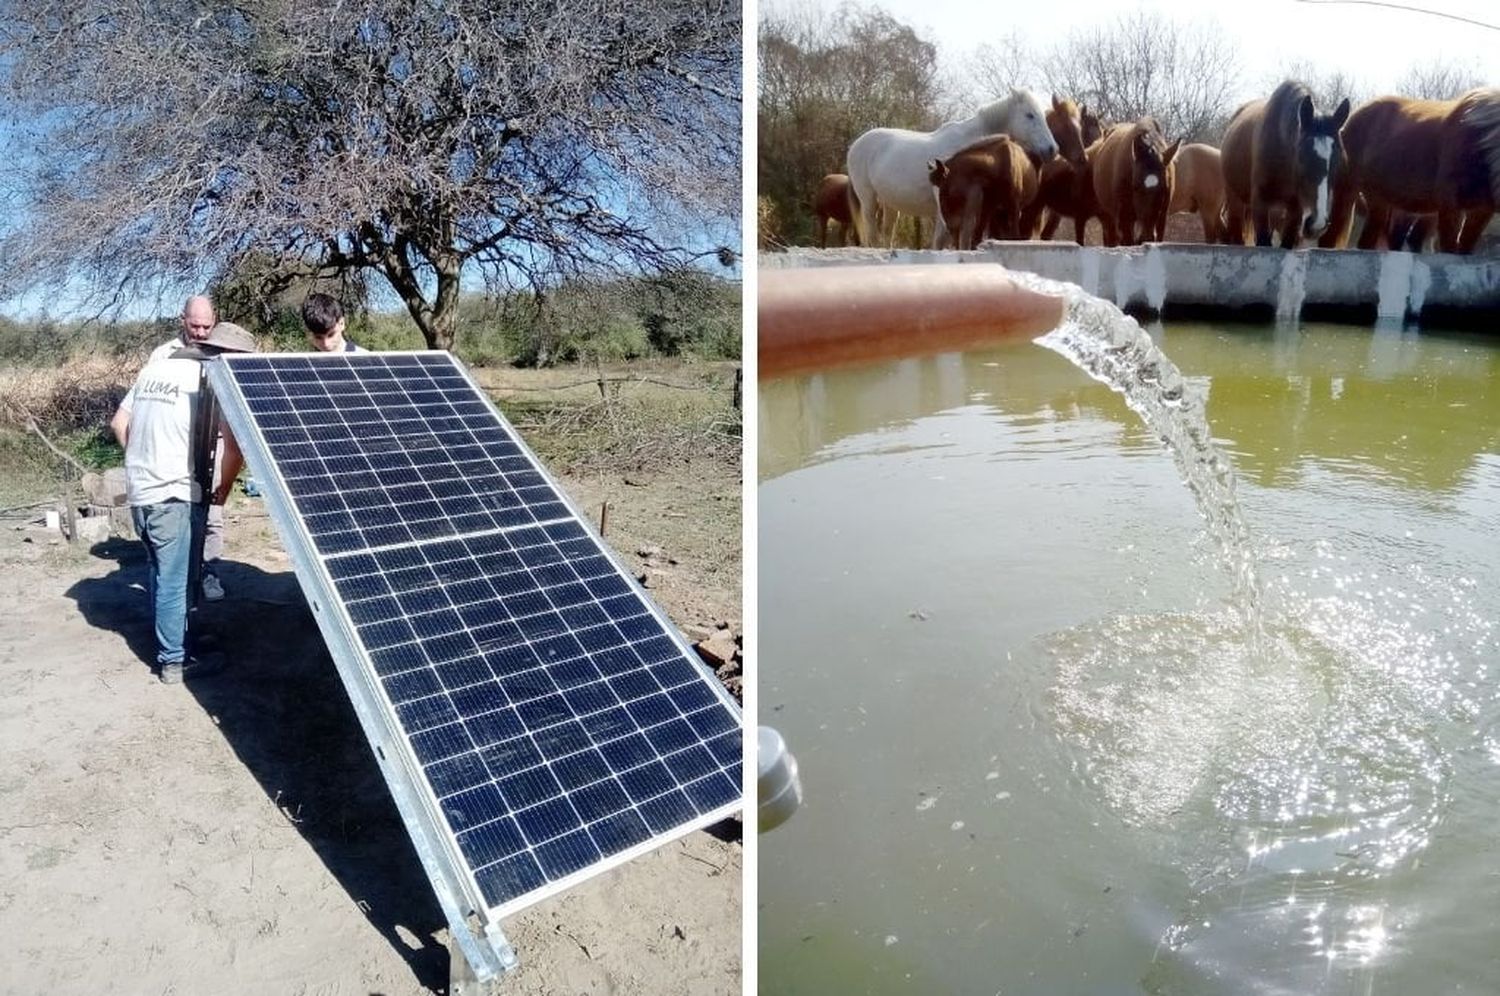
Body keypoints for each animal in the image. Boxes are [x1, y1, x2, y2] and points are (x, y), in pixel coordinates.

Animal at [846, 90, 1068, 249]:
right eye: (1030, 115)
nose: (1052, 149)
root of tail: (856, 145)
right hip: (869, 200)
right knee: (873, 234)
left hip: (891, 205)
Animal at [1086, 117, 1176, 247]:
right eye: (1135, 187)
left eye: (1164, 188)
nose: (1145, 237)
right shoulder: (1124, 218)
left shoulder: (1162, 217)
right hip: (1109, 217)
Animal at [1224, 79, 1356, 247]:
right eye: (1301, 156)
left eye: (1339, 161)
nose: (1317, 225)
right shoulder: (1260, 202)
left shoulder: (1296, 210)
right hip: (1234, 200)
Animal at [1326, 87, 1500, 255]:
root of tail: (1351, 118)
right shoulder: (1449, 205)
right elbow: (1449, 249)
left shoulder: (1481, 211)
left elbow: (1464, 249)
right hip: (1345, 190)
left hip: (1379, 201)